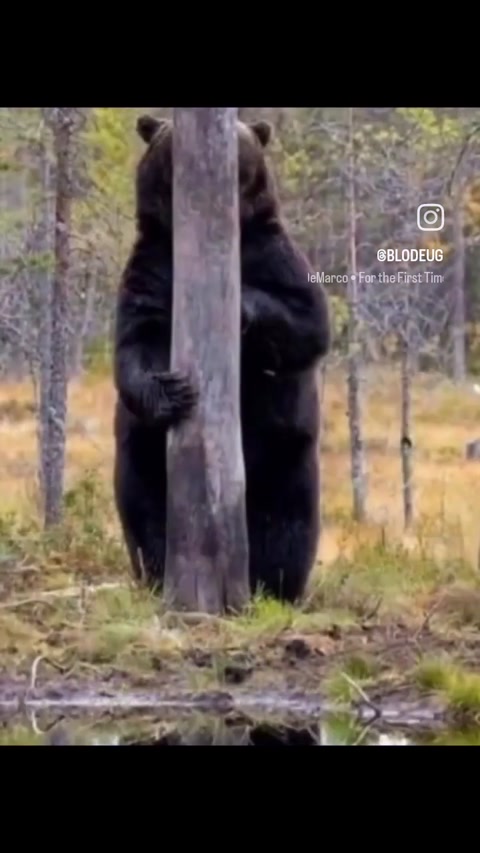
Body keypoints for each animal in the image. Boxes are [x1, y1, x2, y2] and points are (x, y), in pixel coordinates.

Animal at [113, 112, 331, 604]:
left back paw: (276, 586)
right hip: (143, 458)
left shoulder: (273, 253)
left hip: (287, 456)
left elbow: (306, 318)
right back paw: (158, 572)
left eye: (242, 139)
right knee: (145, 511)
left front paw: (243, 306)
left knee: (288, 522)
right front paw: (172, 390)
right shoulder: (152, 268)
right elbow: (135, 342)